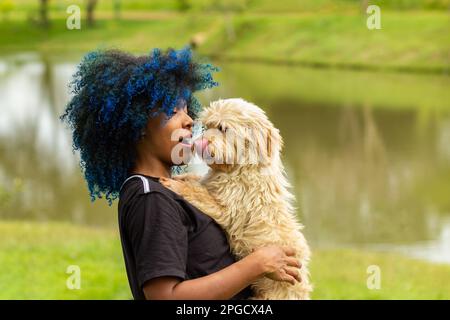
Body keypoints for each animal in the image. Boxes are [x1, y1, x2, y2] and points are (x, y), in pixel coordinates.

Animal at [162, 98, 312, 300]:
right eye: (207, 126)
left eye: (223, 128)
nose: (197, 143)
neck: (239, 168)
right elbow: (198, 180)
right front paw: (181, 177)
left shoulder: (228, 209)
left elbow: (199, 193)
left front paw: (176, 185)